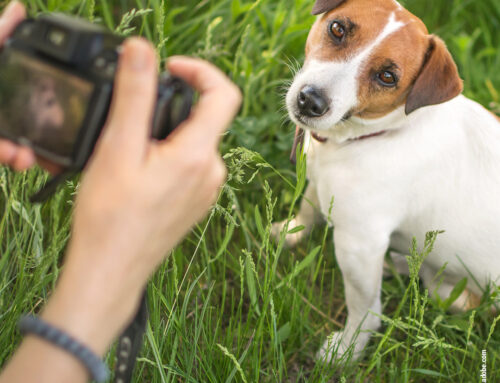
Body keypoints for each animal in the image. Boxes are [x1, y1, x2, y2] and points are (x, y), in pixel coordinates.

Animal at [274, 0, 500, 364]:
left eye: (387, 77)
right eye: (337, 29)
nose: (310, 100)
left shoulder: (359, 245)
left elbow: (364, 308)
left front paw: (346, 350)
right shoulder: (321, 184)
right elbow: (308, 209)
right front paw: (289, 233)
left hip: (449, 294)